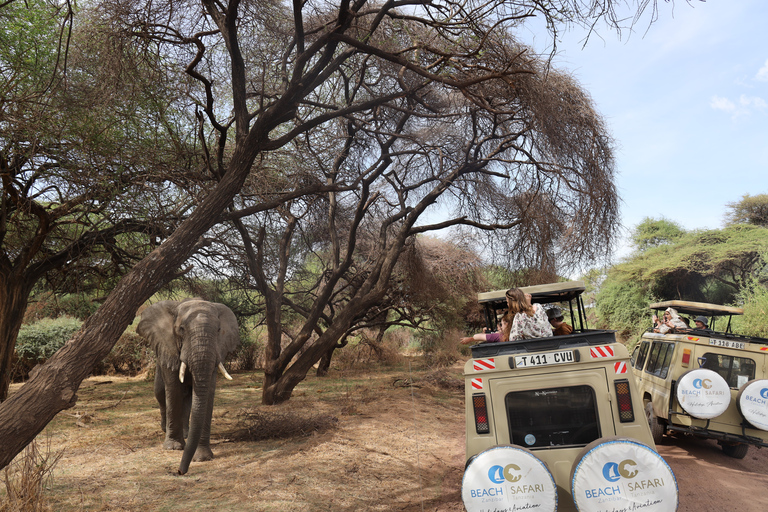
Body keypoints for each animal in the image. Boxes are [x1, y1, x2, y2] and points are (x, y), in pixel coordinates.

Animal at [135, 298, 237, 474]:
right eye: (181, 330)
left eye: (218, 330)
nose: (180, 471)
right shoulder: (169, 346)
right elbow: (174, 389)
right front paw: (173, 448)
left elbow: (208, 393)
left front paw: (202, 457)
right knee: (160, 392)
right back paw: (165, 429)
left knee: (188, 397)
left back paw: (186, 433)